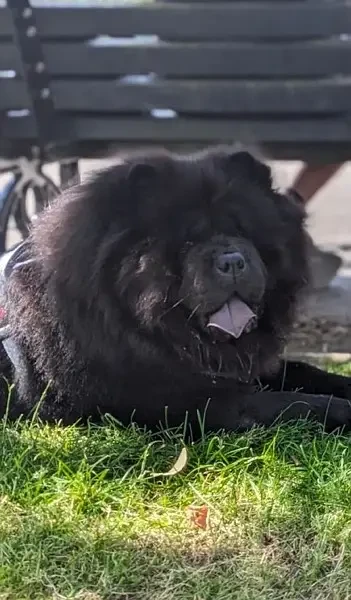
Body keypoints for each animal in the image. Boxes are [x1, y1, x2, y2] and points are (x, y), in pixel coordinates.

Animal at [0, 148, 350, 434]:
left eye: (242, 231)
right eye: (188, 242)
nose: (232, 261)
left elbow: (304, 371)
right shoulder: (197, 402)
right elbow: (292, 402)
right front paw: (342, 409)